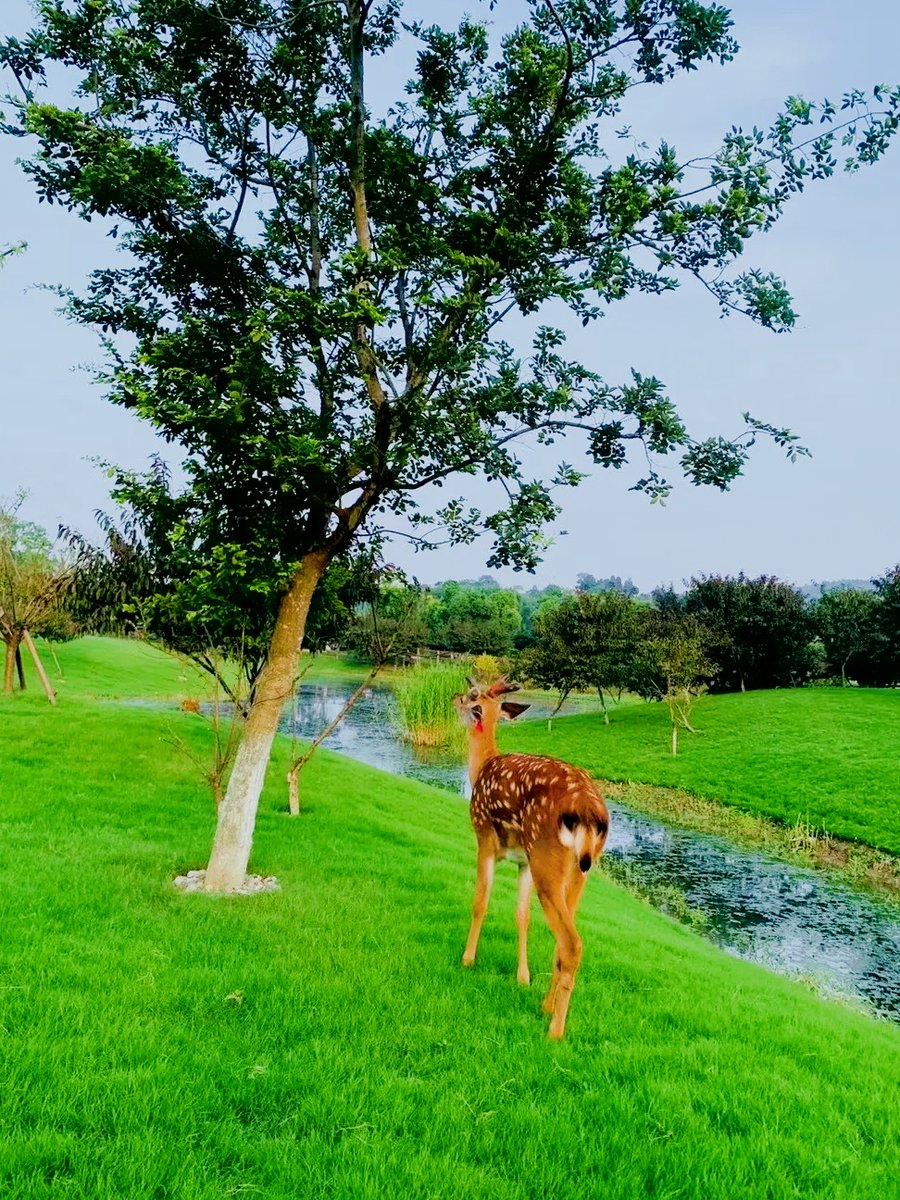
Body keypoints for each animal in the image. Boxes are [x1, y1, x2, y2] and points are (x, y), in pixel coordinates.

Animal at [454, 677, 609, 1039]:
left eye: (469, 699)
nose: (452, 697)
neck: (480, 768)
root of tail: (591, 811)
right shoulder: (523, 861)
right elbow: (521, 915)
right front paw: (522, 977)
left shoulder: (484, 837)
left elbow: (480, 901)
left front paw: (468, 959)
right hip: (578, 870)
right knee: (563, 943)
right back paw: (545, 1006)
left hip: (547, 860)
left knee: (572, 943)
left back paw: (555, 1030)